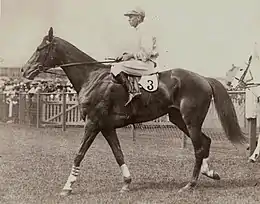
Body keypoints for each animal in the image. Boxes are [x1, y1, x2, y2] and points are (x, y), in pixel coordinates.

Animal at [20, 27, 246, 196]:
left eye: (40, 48)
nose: (24, 70)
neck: (92, 77)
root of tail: (204, 79)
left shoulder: (92, 123)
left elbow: (79, 154)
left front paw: (67, 187)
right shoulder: (106, 127)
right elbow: (118, 153)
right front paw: (127, 183)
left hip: (191, 120)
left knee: (199, 147)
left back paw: (190, 184)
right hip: (178, 119)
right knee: (204, 142)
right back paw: (210, 172)